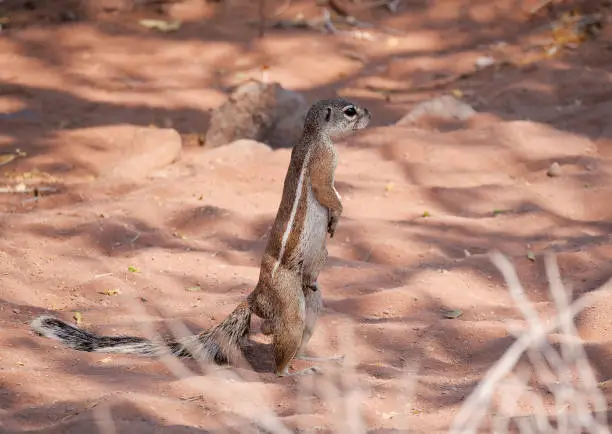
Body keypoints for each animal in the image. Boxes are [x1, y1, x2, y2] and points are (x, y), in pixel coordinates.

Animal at [31, 97, 370, 376]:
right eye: (350, 110)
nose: (370, 113)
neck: (314, 135)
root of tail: (255, 296)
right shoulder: (324, 163)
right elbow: (330, 193)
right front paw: (338, 215)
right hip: (289, 302)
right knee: (278, 347)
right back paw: (294, 371)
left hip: (312, 296)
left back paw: (320, 359)